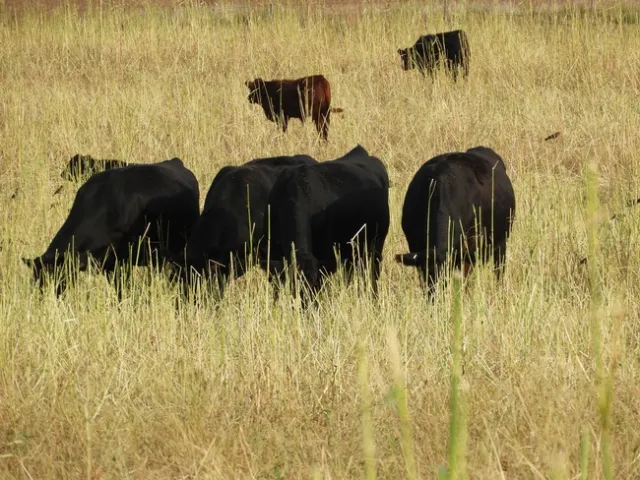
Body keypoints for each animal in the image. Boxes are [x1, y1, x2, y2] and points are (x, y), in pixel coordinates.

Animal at [260, 145, 390, 304]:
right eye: (294, 286)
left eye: (315, 286)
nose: (308, 307)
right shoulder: (274, 258)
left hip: (376, 246)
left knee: (372, 276)